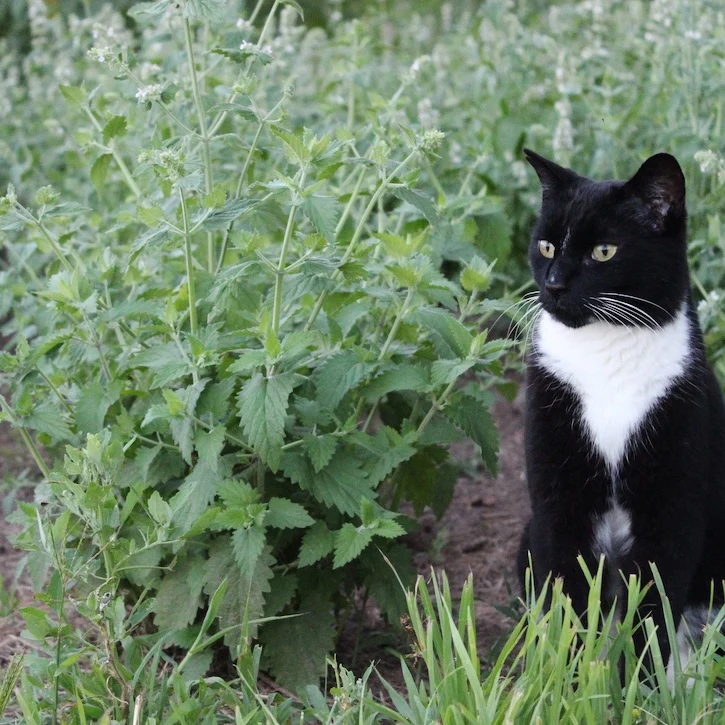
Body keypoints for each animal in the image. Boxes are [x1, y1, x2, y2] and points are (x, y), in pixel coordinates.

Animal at [516, 148, 724, 680]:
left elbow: (652, 606)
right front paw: (565, 682)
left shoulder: (672, 497)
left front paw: (640, 686)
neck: (605, 353)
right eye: (546, 246)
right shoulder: (557, 494)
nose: (554, 285)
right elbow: (566, 591)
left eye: (604, 252)